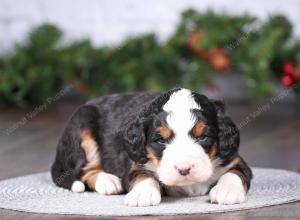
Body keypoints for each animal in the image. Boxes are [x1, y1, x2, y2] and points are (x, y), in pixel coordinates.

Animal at [50, 87, 252, 206]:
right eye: (161, 140)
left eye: (203, 137)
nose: (184, 169)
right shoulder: (135, 162)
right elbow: (143, 175)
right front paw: (143, 194)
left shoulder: (234, 159)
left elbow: (235, 173)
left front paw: (227, 191)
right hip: (82, 123)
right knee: (85, 169)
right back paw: (109, 182)